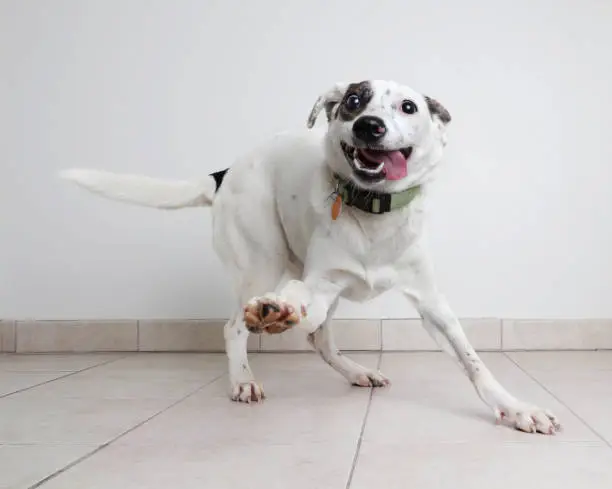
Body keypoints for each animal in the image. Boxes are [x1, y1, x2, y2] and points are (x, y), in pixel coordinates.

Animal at [63, 80, 564, 434]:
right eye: (354, 101)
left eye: (408, 107)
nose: (368, 126)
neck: (373, 210)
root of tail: (226, 171)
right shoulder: (319, 283)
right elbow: (296, 303)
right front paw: (277, 310)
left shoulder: (432, 303)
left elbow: (473, 362)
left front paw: (516, 408)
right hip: (259, 260)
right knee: (237, 326)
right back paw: (244, 375)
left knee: (318, 338)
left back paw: (355, 371)